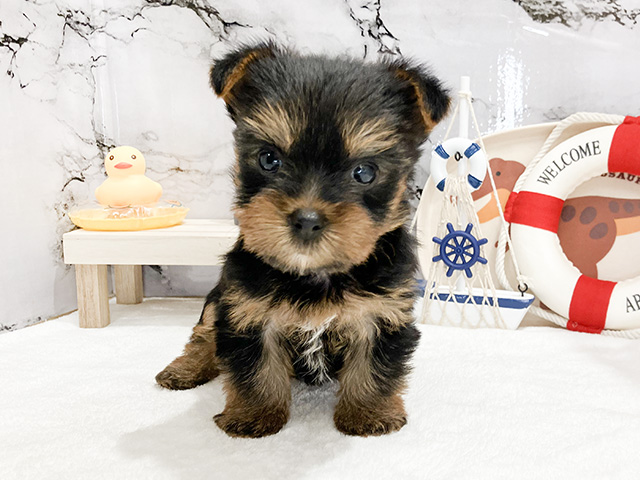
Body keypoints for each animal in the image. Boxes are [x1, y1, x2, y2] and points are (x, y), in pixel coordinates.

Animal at [156, 43, 450, 436]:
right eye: (268, 159)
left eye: (365, 172)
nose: (307, 220)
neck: (316, 274)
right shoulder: (247, 311)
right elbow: (256, 369)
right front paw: (255, 416)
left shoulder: (382, 313)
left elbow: (374, 367)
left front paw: (368, 415)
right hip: (221, 297)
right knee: (204, 334)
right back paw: (184, 369)